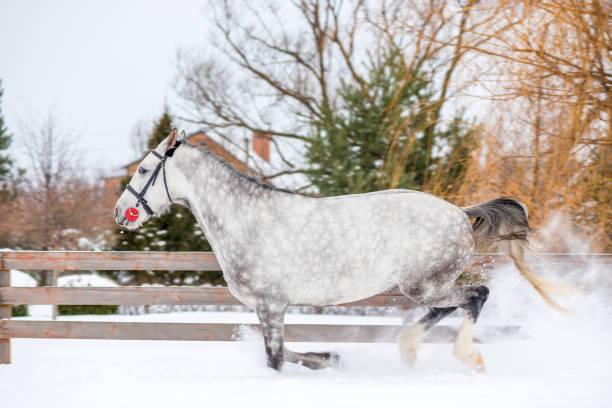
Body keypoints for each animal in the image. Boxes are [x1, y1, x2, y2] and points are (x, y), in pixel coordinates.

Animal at [115, 130, 564, 372]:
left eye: (143, 169)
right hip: (426, 286)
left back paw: (465, 356)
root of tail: (459, 211)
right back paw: (408, 350)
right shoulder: (267, 307)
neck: (247, 220)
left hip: (425, 284)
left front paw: (323, 359)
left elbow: (276, 358)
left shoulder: (271, 304)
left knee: (475, 297)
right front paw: (327, 357)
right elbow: (283, 352)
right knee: (452, 306)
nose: (121, 213)